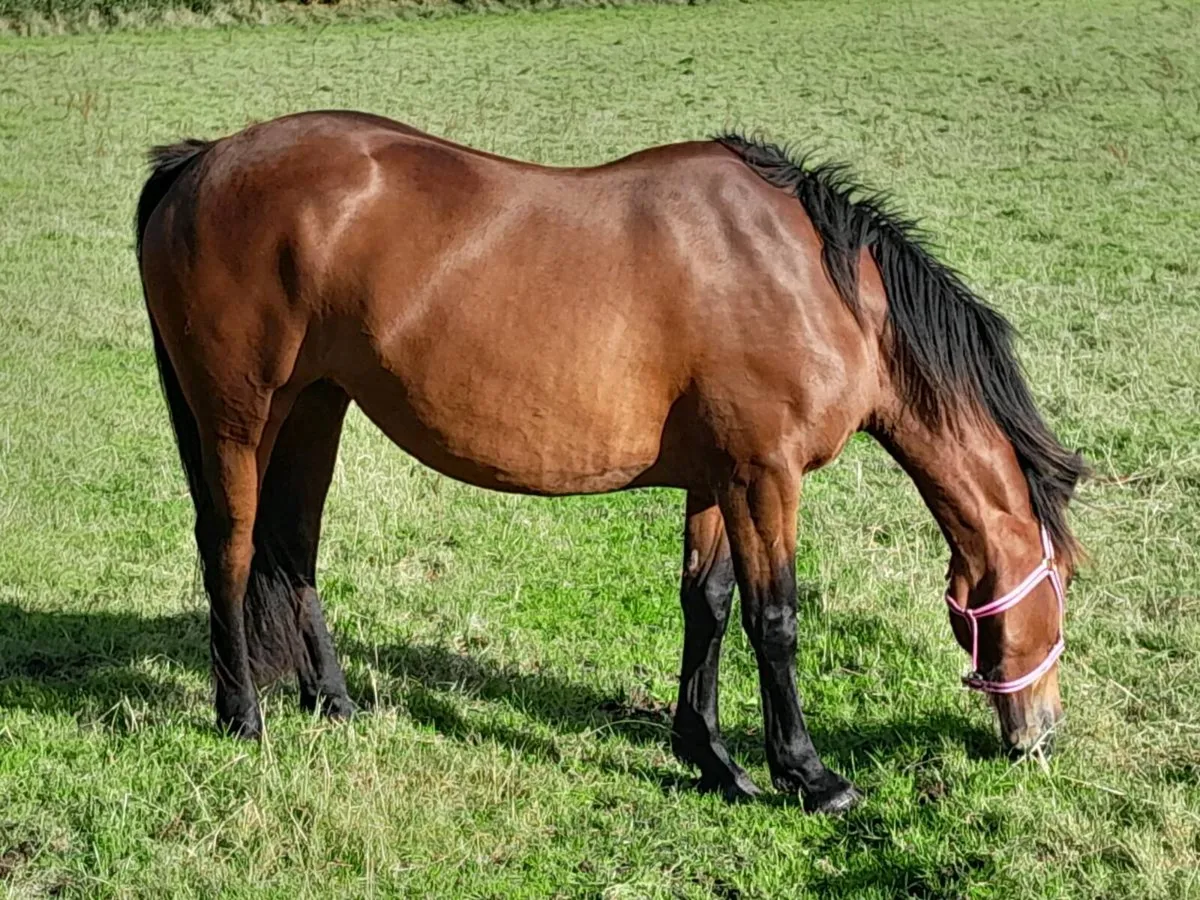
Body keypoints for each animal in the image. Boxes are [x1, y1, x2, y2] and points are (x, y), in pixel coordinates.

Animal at [134, 112, 1086, 813]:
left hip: (314, 407)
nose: (1041, 734)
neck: (810, 281)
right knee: (229, 547)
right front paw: (808, 776)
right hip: (239, 419)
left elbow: (707, 605)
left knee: (292, 547)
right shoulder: (764, 476)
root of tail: (199, 162)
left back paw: (332, 703)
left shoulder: (716, 479)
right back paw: (242, 717)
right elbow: (774, 618)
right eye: (1065, 584)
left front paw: (712, 759)